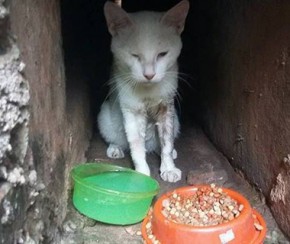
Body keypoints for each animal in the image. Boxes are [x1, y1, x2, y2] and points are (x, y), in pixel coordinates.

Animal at [97, 0, 189, 182]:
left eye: (162, 54)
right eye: (134, 55)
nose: (149, 75)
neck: (148, 91)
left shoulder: (167, 107)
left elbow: (166, 142)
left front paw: (169, 168)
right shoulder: (131, 110)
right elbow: (136, 145)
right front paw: (141, 173)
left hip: (176, 119)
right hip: (105, 115)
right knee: (117, 138)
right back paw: (115, 148)